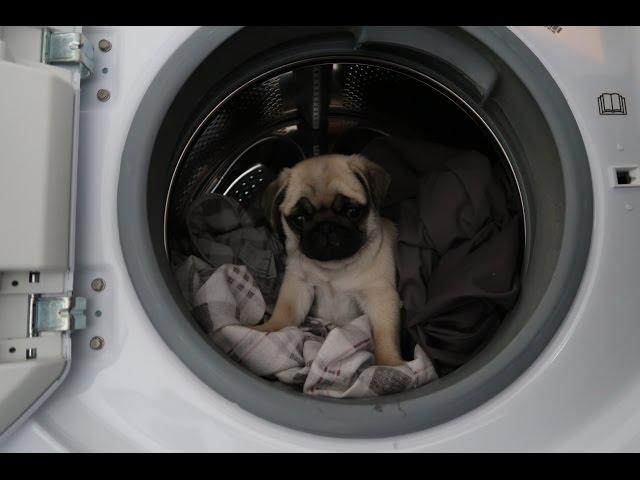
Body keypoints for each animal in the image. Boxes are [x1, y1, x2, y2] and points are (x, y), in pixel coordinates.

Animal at [256, 153, 402, 364]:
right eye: (299, 219)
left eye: (352, 211)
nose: (326, 226)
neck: (334, 269)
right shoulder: (298, 286)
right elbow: (284, 315)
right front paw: (265, 331)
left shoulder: (380, 296)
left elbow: (385, 335)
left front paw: (390, 364)